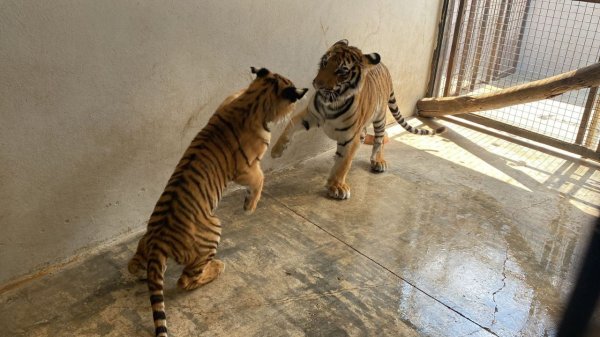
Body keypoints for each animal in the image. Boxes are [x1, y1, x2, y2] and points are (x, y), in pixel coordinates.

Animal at [130, 67, 310, 336]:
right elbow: (260, 178)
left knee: (134, 265)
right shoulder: (245, 169)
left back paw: (140, 274)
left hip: (145, 244)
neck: (254, 99)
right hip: (212, 231)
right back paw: (217, 267)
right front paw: (249, 206)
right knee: (186, 280)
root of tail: (159, 241)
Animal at [272, 38, 446, 200]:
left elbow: (344, 163)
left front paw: (336, 186)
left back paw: (378, 161)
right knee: (362, 137)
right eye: (325, 62)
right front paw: (276, 151)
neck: (331, 102)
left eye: (342, 71)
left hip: (380, 118)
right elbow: (289, 126)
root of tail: (384, 67)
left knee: (379, 140)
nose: (317, 84)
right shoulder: (311, 115)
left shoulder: (350, 137)